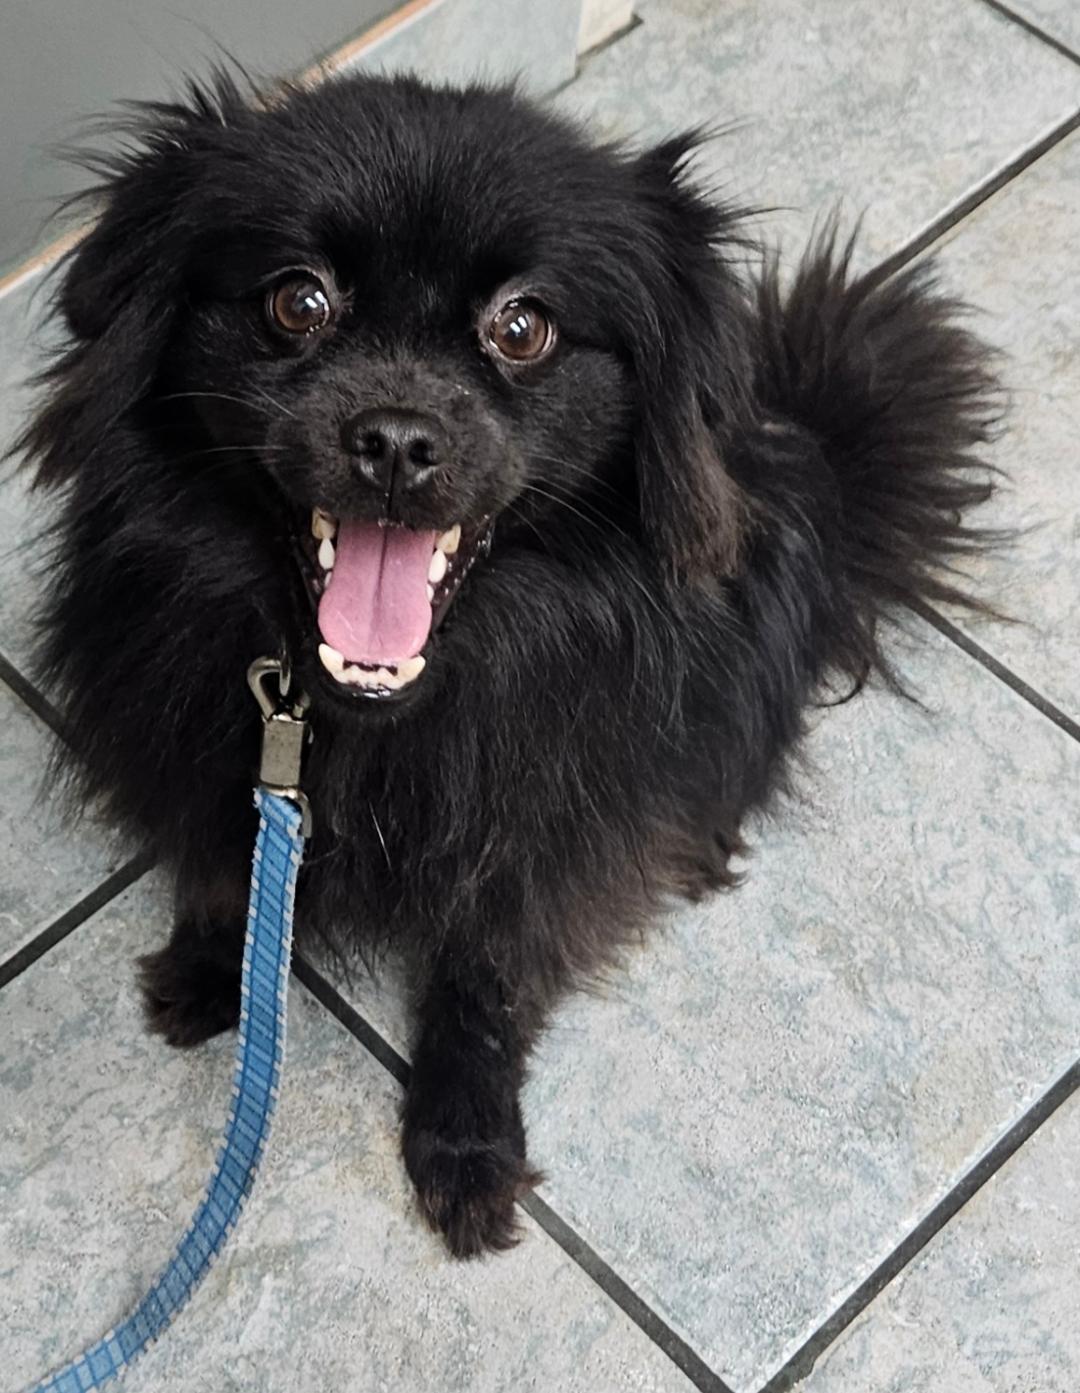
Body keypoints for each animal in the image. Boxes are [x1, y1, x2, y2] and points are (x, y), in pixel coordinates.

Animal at [16, 70, 1003, 1259]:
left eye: (524, 328)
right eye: (297, 302)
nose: (396, 439)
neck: (362, 714)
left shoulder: (539, 838)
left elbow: (483, 983)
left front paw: (465, 1143)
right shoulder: (217, 757)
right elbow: (222, 865)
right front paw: (220, 970)